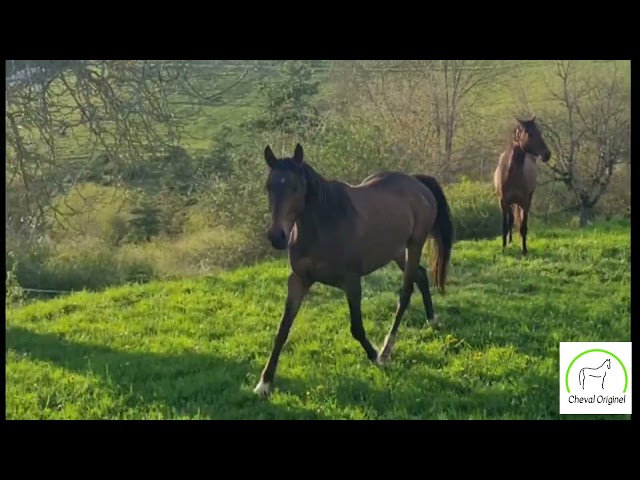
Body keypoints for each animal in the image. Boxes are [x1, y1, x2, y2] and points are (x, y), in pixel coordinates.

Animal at [254, 143, 454, 397]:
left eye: (296, 186)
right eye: (269, 186)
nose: (276, 237)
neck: (323, 225)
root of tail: (417, 183)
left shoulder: (351, 282)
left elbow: (356, 328)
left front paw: (376, 356)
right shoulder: (298, 280)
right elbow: (282, 330)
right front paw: (264, 383)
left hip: (415, 245)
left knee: (406, 292)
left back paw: (387, 348)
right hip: (397, 251)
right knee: (420, 275)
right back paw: (432, 319)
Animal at [493, 116, 551, 255]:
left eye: (539, 132)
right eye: (530, 134)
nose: (547, 154)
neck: (511, 174)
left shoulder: (525, 203)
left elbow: (523, 227)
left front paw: (524, 249)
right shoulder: (503, 202)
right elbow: (504, 225)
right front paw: (503, 248)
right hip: (511, 203)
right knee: (510, 220)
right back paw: (509, 241)